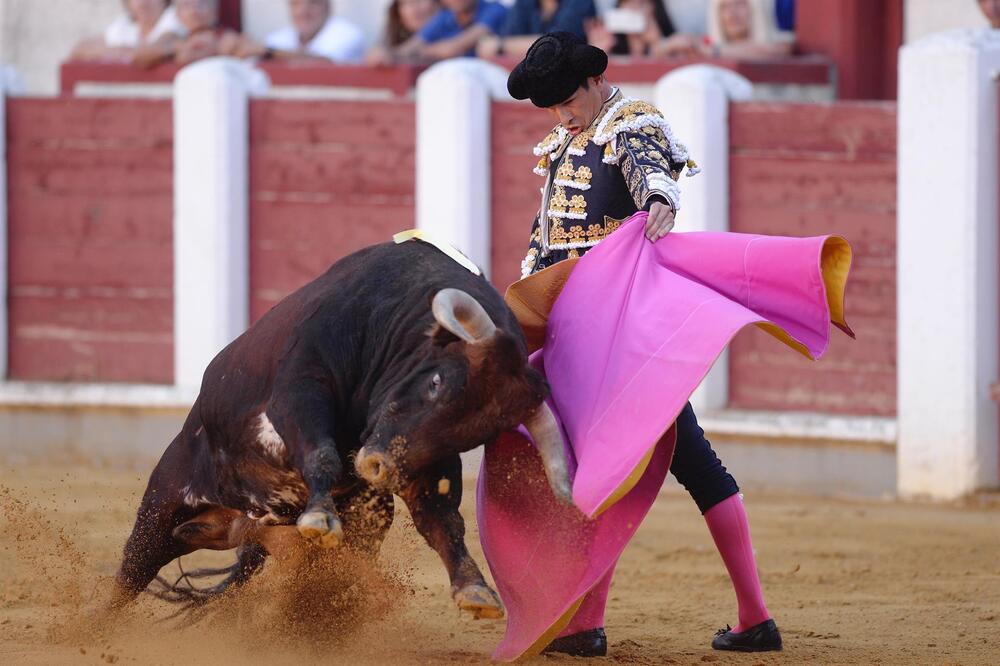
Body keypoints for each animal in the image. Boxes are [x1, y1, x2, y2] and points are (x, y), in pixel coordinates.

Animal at [109, 239, 572, 616]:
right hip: (164, 499)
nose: (379, 466)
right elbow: (322, 454)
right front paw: (319, 516)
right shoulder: (300, 390)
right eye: (437, 382)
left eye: (478, 435)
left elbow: (442, 519)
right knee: (132, 570)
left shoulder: (424, 461)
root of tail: (246, 526)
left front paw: (474, 588)